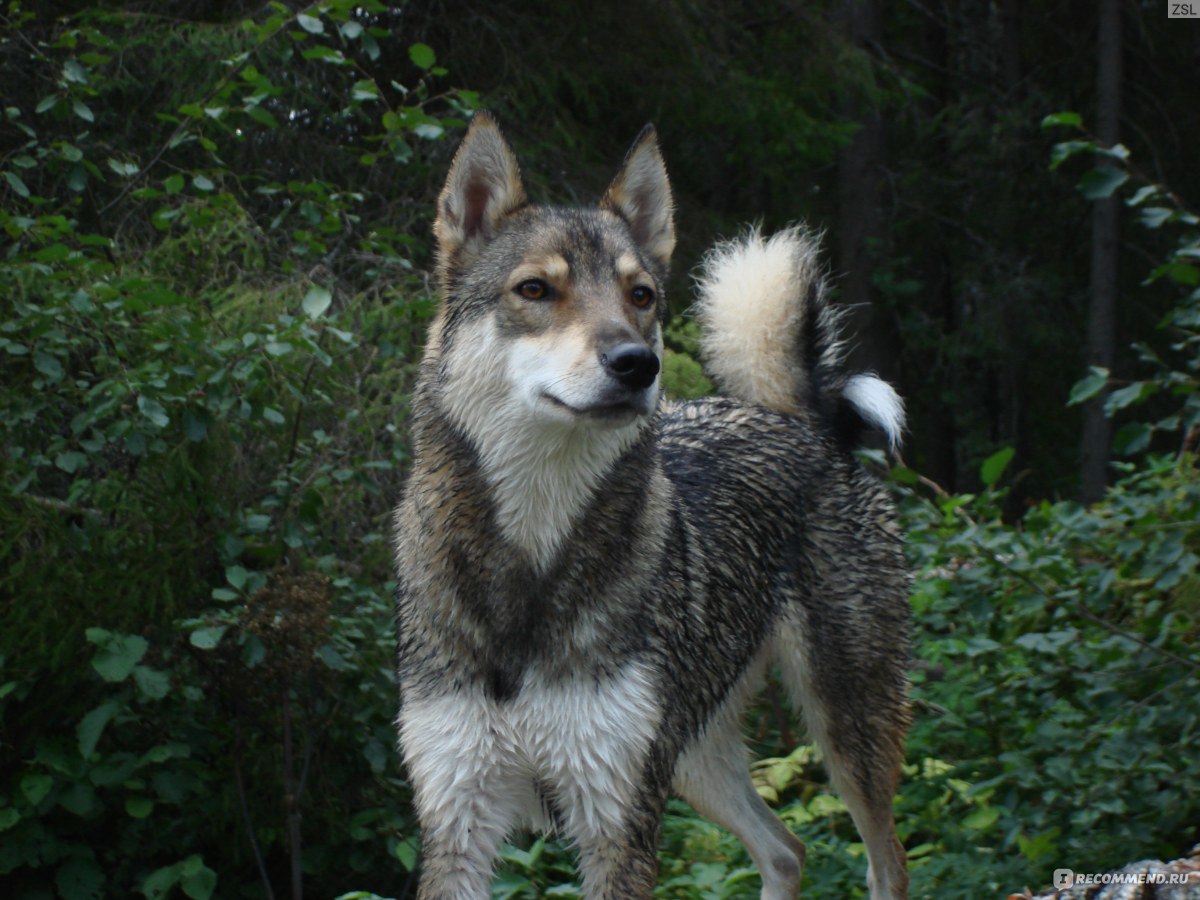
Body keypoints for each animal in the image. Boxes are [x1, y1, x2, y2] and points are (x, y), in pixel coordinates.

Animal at [393, 112, 907, 900]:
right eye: (535, 289)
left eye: (640, 296)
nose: (638, 364)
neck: (533, 558)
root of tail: (803, 420)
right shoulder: (457, 823)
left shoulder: (618, 821)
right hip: (694, 756)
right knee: (788, 849)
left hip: (845, 733)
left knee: (886, 861)